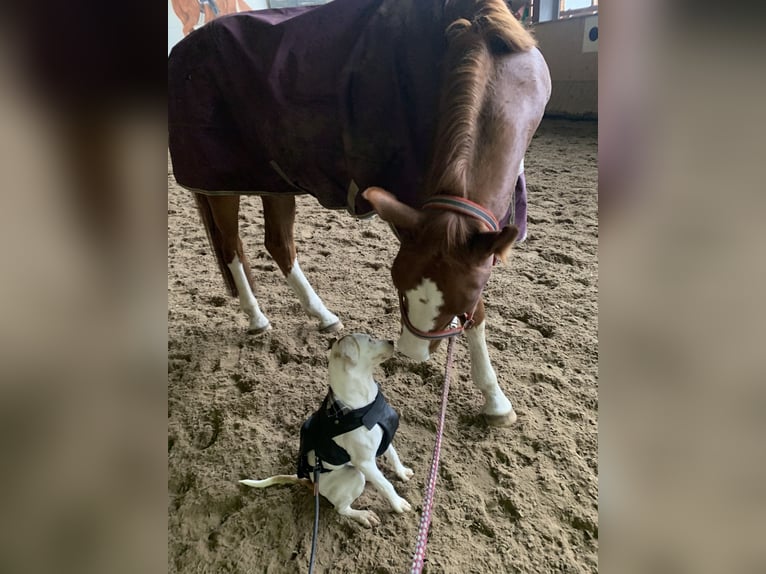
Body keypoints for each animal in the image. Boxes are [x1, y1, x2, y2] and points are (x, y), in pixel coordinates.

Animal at [168, 0, 551, 426]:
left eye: (459, 301)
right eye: (399, 286)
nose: (412, 353)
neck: (483, 44)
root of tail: (182, 49)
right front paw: (495, 400)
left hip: (276, 180)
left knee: (278, 244)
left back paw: (322, 315)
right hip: (221, 182)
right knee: (231, 246)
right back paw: (256, 318)